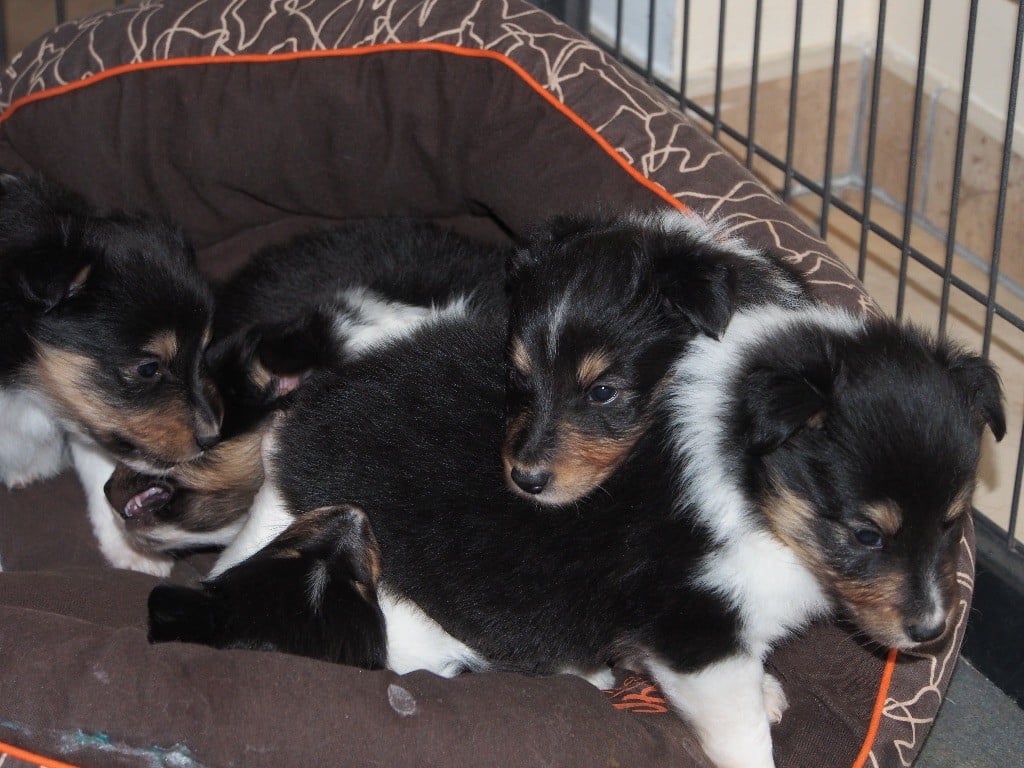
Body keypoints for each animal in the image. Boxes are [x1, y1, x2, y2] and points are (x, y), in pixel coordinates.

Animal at [190, 210, 999, 768]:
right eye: (865, 533)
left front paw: (766, 684)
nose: (932, 632)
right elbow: (740, 732)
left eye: (954, 523)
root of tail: (303, 425)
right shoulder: (693, 628)